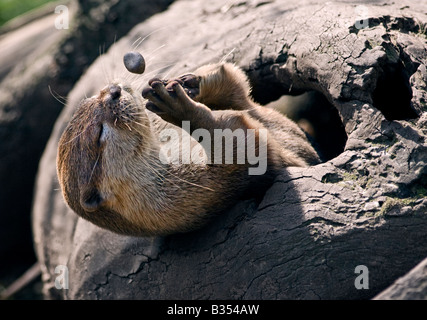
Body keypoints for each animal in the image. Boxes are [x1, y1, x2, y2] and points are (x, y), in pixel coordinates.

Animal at [56, 63, 320, 238]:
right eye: (98, 133)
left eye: (92, 98)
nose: (113, 91)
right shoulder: (204, 191)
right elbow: (247, 144)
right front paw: (182, 110)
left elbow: (240, 92)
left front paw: (191, 84)